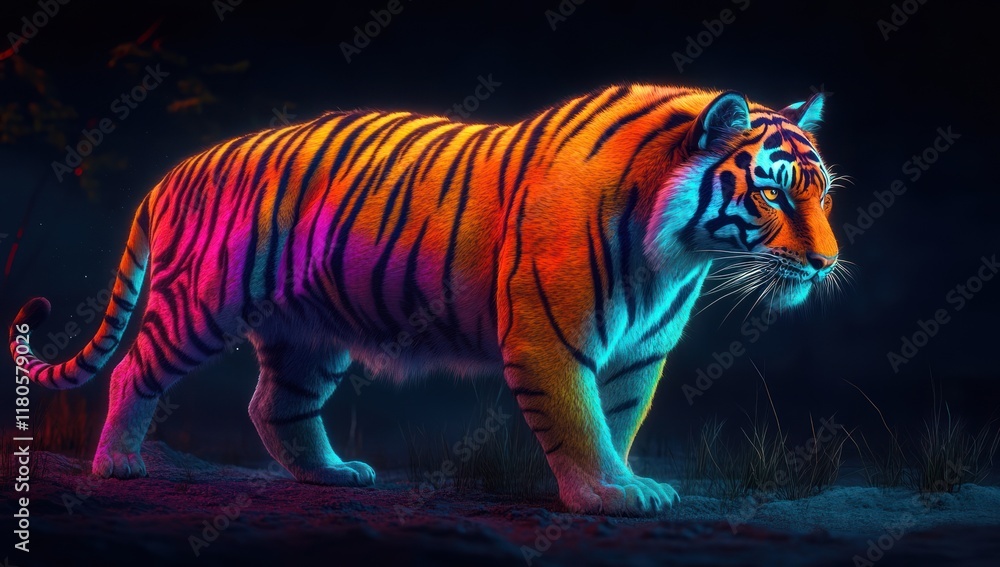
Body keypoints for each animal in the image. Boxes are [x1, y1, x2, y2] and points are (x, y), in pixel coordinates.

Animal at [8, 84, 840, 516]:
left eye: (823, 192)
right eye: (771, 193)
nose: (826, 262)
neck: (677, 254)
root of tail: (174, 171)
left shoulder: (642, 349)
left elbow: (622, 417)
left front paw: (631, 479)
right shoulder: (549, 337)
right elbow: (579, 420)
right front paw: (605, 493)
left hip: (309, 331)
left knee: (274, 405)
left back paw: (332, 473)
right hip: (198, 306)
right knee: (135, 369)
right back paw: (117, 463)